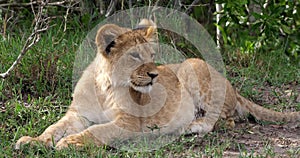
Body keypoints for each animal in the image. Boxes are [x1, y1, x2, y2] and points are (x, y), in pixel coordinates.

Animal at [16, 19, 300, 149]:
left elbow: (97, 131)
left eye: (152, 55)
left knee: (222, 120)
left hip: (193, 65)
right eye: (134, 56)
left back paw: (192, 126)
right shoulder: (78, 115)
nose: (154, 75)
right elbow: (53, 128)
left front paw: (71, 142)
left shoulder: (129, 124)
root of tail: (234, 89)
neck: (105, 89)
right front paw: (32, 141)